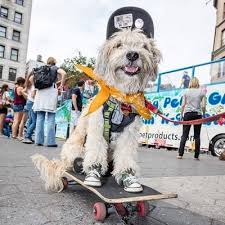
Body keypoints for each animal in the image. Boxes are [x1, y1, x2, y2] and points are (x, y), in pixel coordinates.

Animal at [31, 27, 161, 193]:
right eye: (118, 45)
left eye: (144, 46)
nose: (132, 54)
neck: (121, 98)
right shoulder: (97, 128)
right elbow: (96, 151)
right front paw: (94, 172)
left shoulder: (129, 134)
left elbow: (126, 155)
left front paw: (128, 176)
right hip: (75, 150)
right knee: (77, 162)